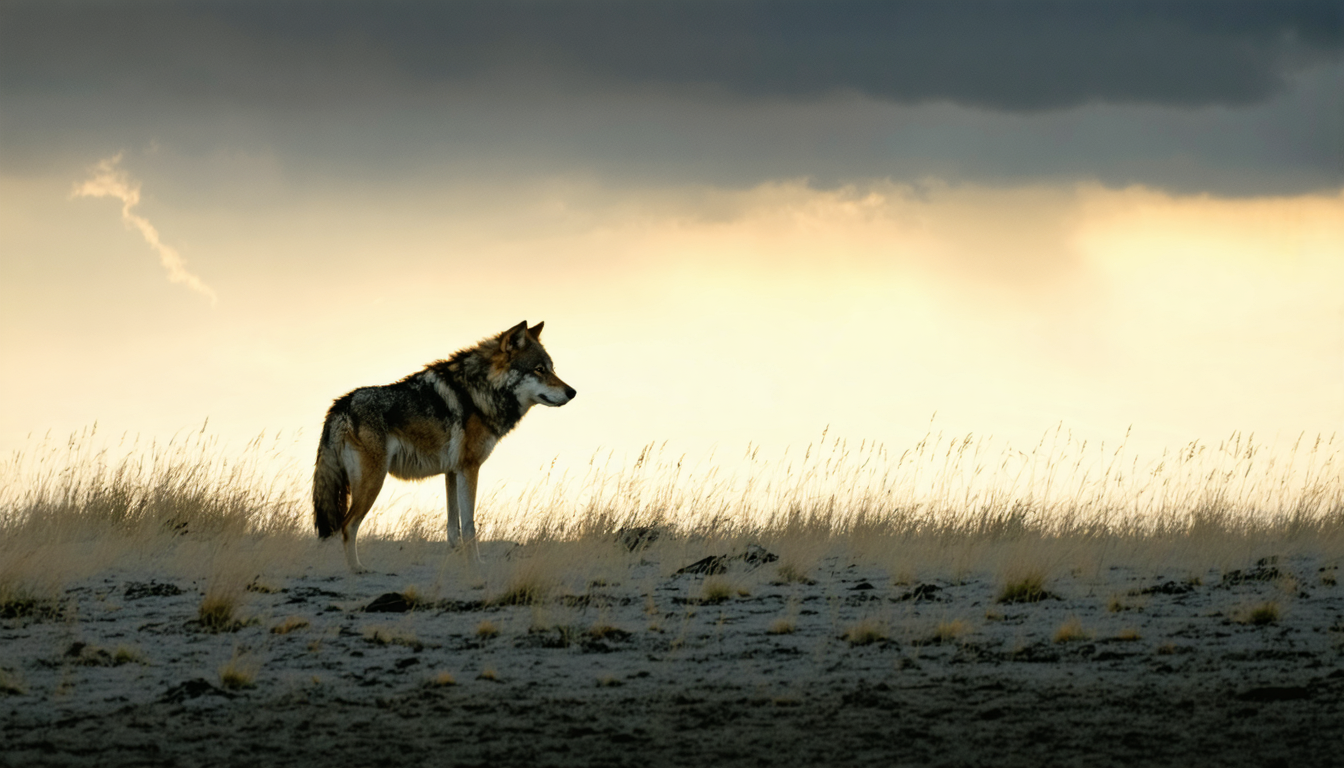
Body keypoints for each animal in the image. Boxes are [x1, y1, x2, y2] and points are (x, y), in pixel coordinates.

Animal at [312, 321, 575, 573]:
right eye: (539, 370)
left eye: (551, 368)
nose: (572, 392)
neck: (480, 391)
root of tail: (341, 405)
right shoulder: (469, 468)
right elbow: (469, 526)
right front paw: (476, 566)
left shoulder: (452, 472)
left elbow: (452, 528)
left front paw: (458, 561)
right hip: (373, 482)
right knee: (347, 525)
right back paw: (357, 569)